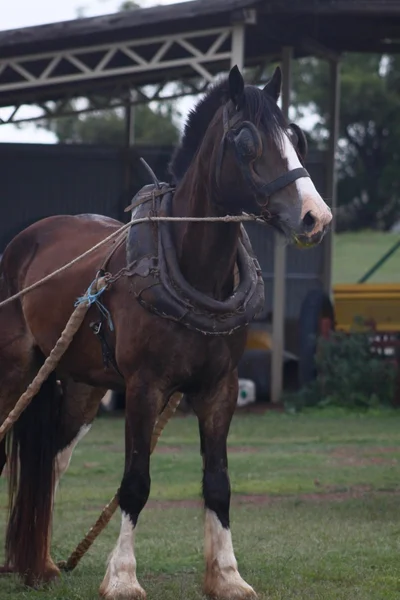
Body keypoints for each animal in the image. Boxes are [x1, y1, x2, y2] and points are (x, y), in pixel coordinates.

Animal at [0, 67, 332, 600]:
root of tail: (26, 240)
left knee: (50, 463)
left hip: (81, 387)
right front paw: (122, 577)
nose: (315, 216)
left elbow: (218, 481)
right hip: (16, 373)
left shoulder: (219, 390)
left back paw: (44, 564)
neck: (193, 271)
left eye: (296, 137)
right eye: (246, 140)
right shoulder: (145, 388)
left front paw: (227, 575)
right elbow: (136, 481)